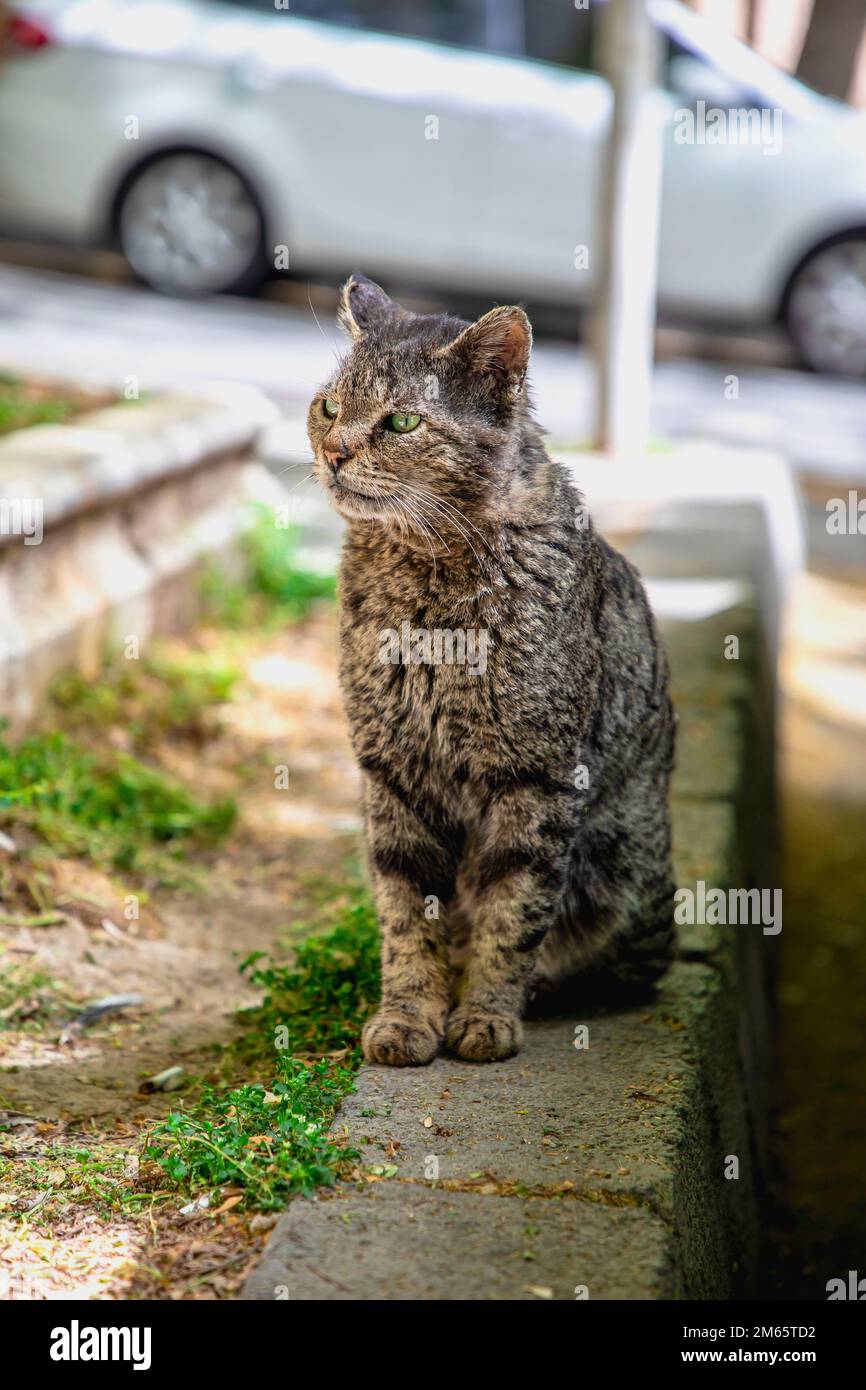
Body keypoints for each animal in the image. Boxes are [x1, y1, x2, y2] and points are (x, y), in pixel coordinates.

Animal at [308, 276, 681, 1067]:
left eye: (402, 422)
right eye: (329, 406)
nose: (334, 451)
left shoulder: (537, 779)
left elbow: (511, 913)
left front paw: (485, 1014)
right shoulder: (389, 773)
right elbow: (406, 913)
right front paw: (407, 1015)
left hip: (622, 869)